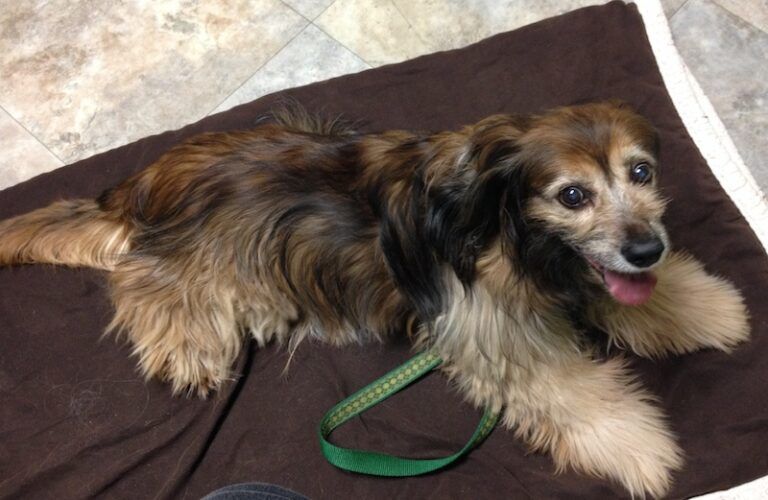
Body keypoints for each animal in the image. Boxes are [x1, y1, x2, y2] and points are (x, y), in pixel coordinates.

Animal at [0, 100, 748, 496]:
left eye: (641, 173)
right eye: (572, 195)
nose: (647, 249)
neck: (502, 220)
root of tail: (144, 183)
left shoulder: (571, 272)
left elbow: (623, 295)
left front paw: (704, 307)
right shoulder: (495, 331)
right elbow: (572, 393)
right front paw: (642, 451)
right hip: (210, 262)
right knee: (139, 280)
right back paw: (186, 347)